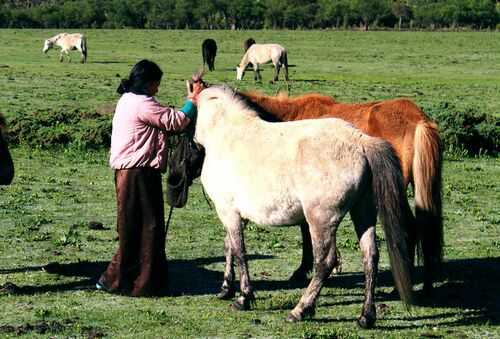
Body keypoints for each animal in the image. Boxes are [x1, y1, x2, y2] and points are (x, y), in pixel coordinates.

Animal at [193, 86, 412, 328]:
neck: (227, 132)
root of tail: (361, 141)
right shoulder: (237, 215)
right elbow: (230, 246)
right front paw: (226, 289)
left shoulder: (228, 211)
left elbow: (239, 251)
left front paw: (244, 298)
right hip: (363, 214)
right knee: (370, 256)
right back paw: (366, 316)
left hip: (320, 221)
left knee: (325, 262)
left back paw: (300, 309)